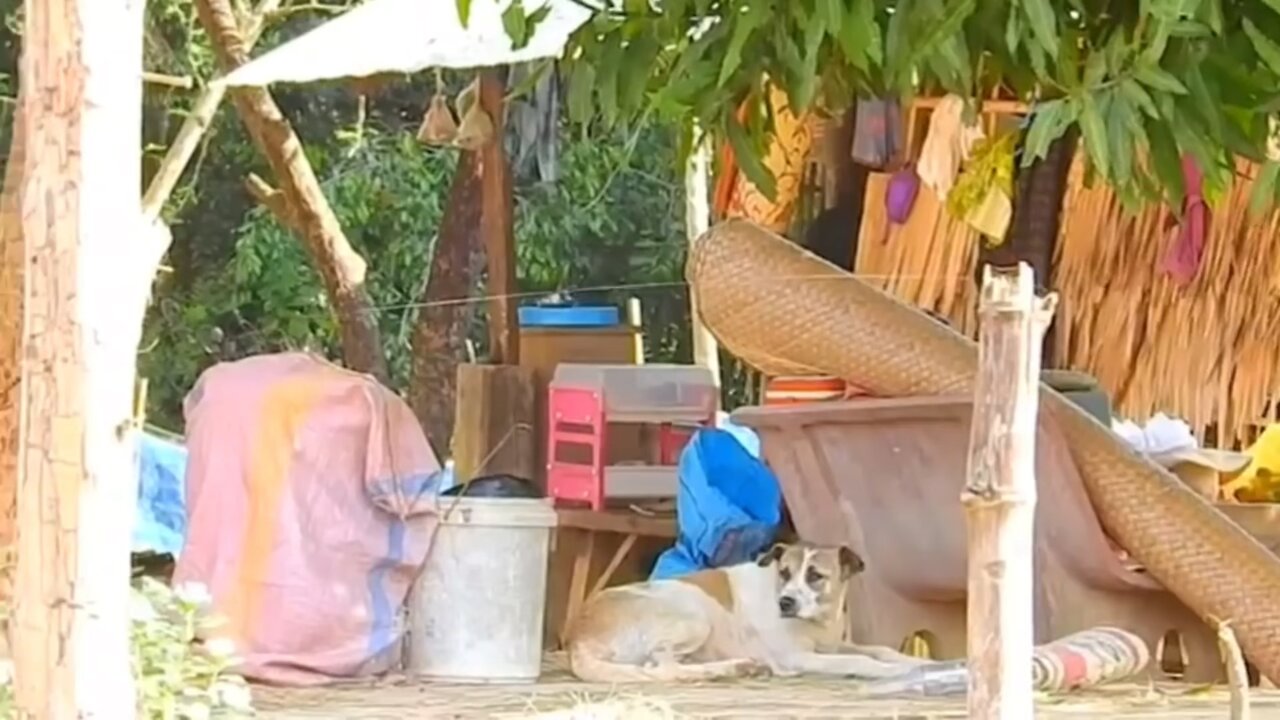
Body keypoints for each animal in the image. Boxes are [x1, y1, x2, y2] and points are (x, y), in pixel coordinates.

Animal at [565, 540, 926, 681]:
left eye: (815, 576)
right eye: (784, 573)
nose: (786, 602)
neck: (819, 621)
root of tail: (577, 637)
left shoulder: (834, 644)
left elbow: (880, 649)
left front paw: (919, 662)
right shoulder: (799, 656)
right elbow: (860, 660)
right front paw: (893, 672)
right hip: (693, 613)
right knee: (663, 668)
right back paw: (734, 667)